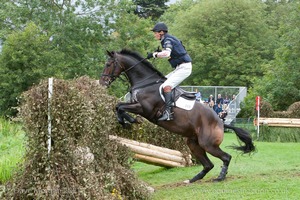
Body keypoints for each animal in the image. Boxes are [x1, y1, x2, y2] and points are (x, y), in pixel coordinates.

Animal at [99, 48, 254, 183]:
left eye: (108, 64)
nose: (102, 83)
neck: (145, 83)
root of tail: (221, 122)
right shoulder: (136, 105)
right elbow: (118, 106)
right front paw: (128, 120)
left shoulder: (144, 109)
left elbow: (120, 107)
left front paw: (129, 120)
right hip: (193, 143)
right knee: (208, 164)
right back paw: (192, 180)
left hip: (208, 144)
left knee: (226, 157)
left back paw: (220, 177)